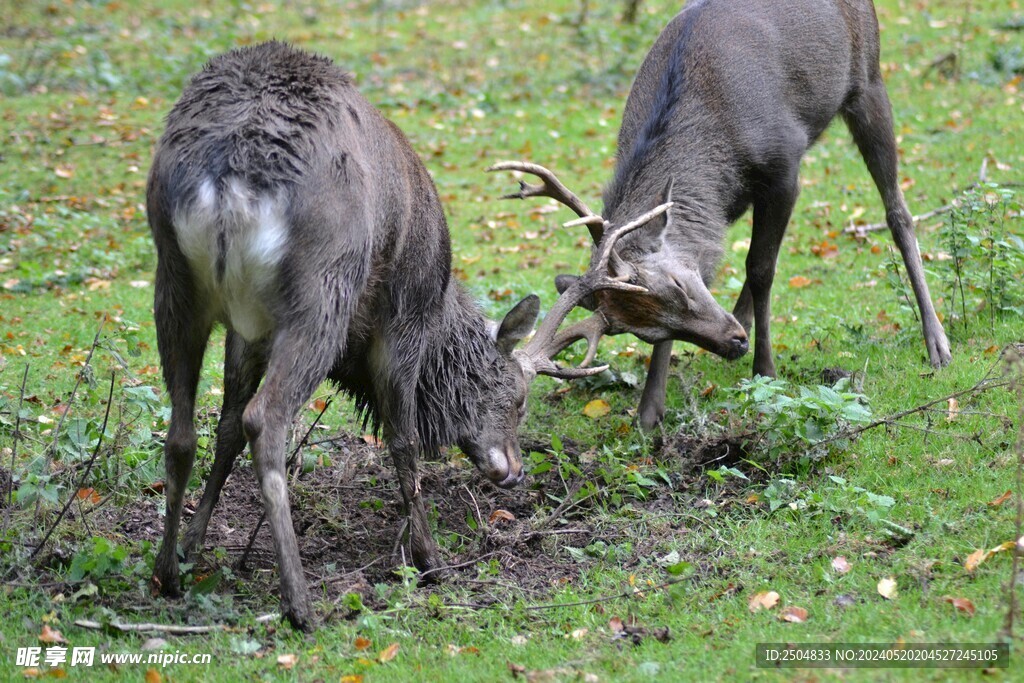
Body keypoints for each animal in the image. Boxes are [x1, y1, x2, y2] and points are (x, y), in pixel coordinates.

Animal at [146, 41, 665, 630]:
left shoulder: (246, 330)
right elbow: (403, 436)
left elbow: (227, 427)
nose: (513, 471)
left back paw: (166, 574)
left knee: (184, 431)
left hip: (175, 280)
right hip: (322, 291)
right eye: (519, 399)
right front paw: (428, 559)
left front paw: (193, 543)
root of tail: (232, 179)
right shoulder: (404, 316)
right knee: (267, 419)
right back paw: (300, 603)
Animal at [492, 0, 951, 430]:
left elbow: (761, 267)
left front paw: (766, 371)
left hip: (868, 79)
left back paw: (937, 342)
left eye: (679, 285)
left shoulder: (784, 165)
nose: (734, 343)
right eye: (649, 331)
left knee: (897, 211)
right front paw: (649, 410)